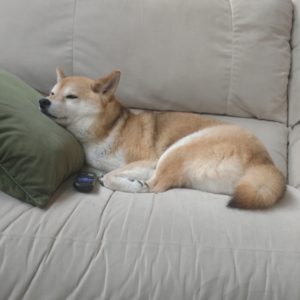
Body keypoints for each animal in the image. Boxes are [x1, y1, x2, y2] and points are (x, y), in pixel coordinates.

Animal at [39, 68, 286, 209]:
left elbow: (110, 175)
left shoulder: (148, 160)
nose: (42, 102)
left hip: (179, 147)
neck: (109, 129)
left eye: (71, 96)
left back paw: (137, 185)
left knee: (155, 185)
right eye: (52, 93)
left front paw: (123, 181)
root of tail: (265, 163)